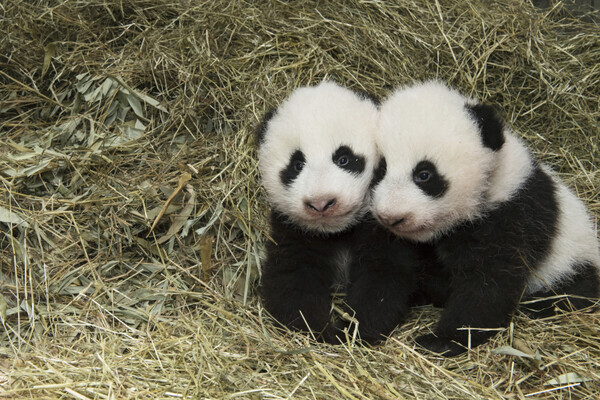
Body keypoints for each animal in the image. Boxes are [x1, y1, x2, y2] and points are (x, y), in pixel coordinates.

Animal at [256, 80, 418, 344]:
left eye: (344, 158)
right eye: (297, 165)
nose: (322, 203)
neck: (337, 232)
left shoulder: (378, 228)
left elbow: (382, 277)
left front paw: (353, 331)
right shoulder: (292, 230)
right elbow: (292, 278)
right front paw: (321, 331)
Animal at [372, 80, 596, 356]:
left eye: (424, 174)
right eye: (381, 169)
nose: (391, 217)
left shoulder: (511, 216)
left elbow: (488, 284)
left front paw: (442, 340)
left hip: (571, 260)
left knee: (573, 291)